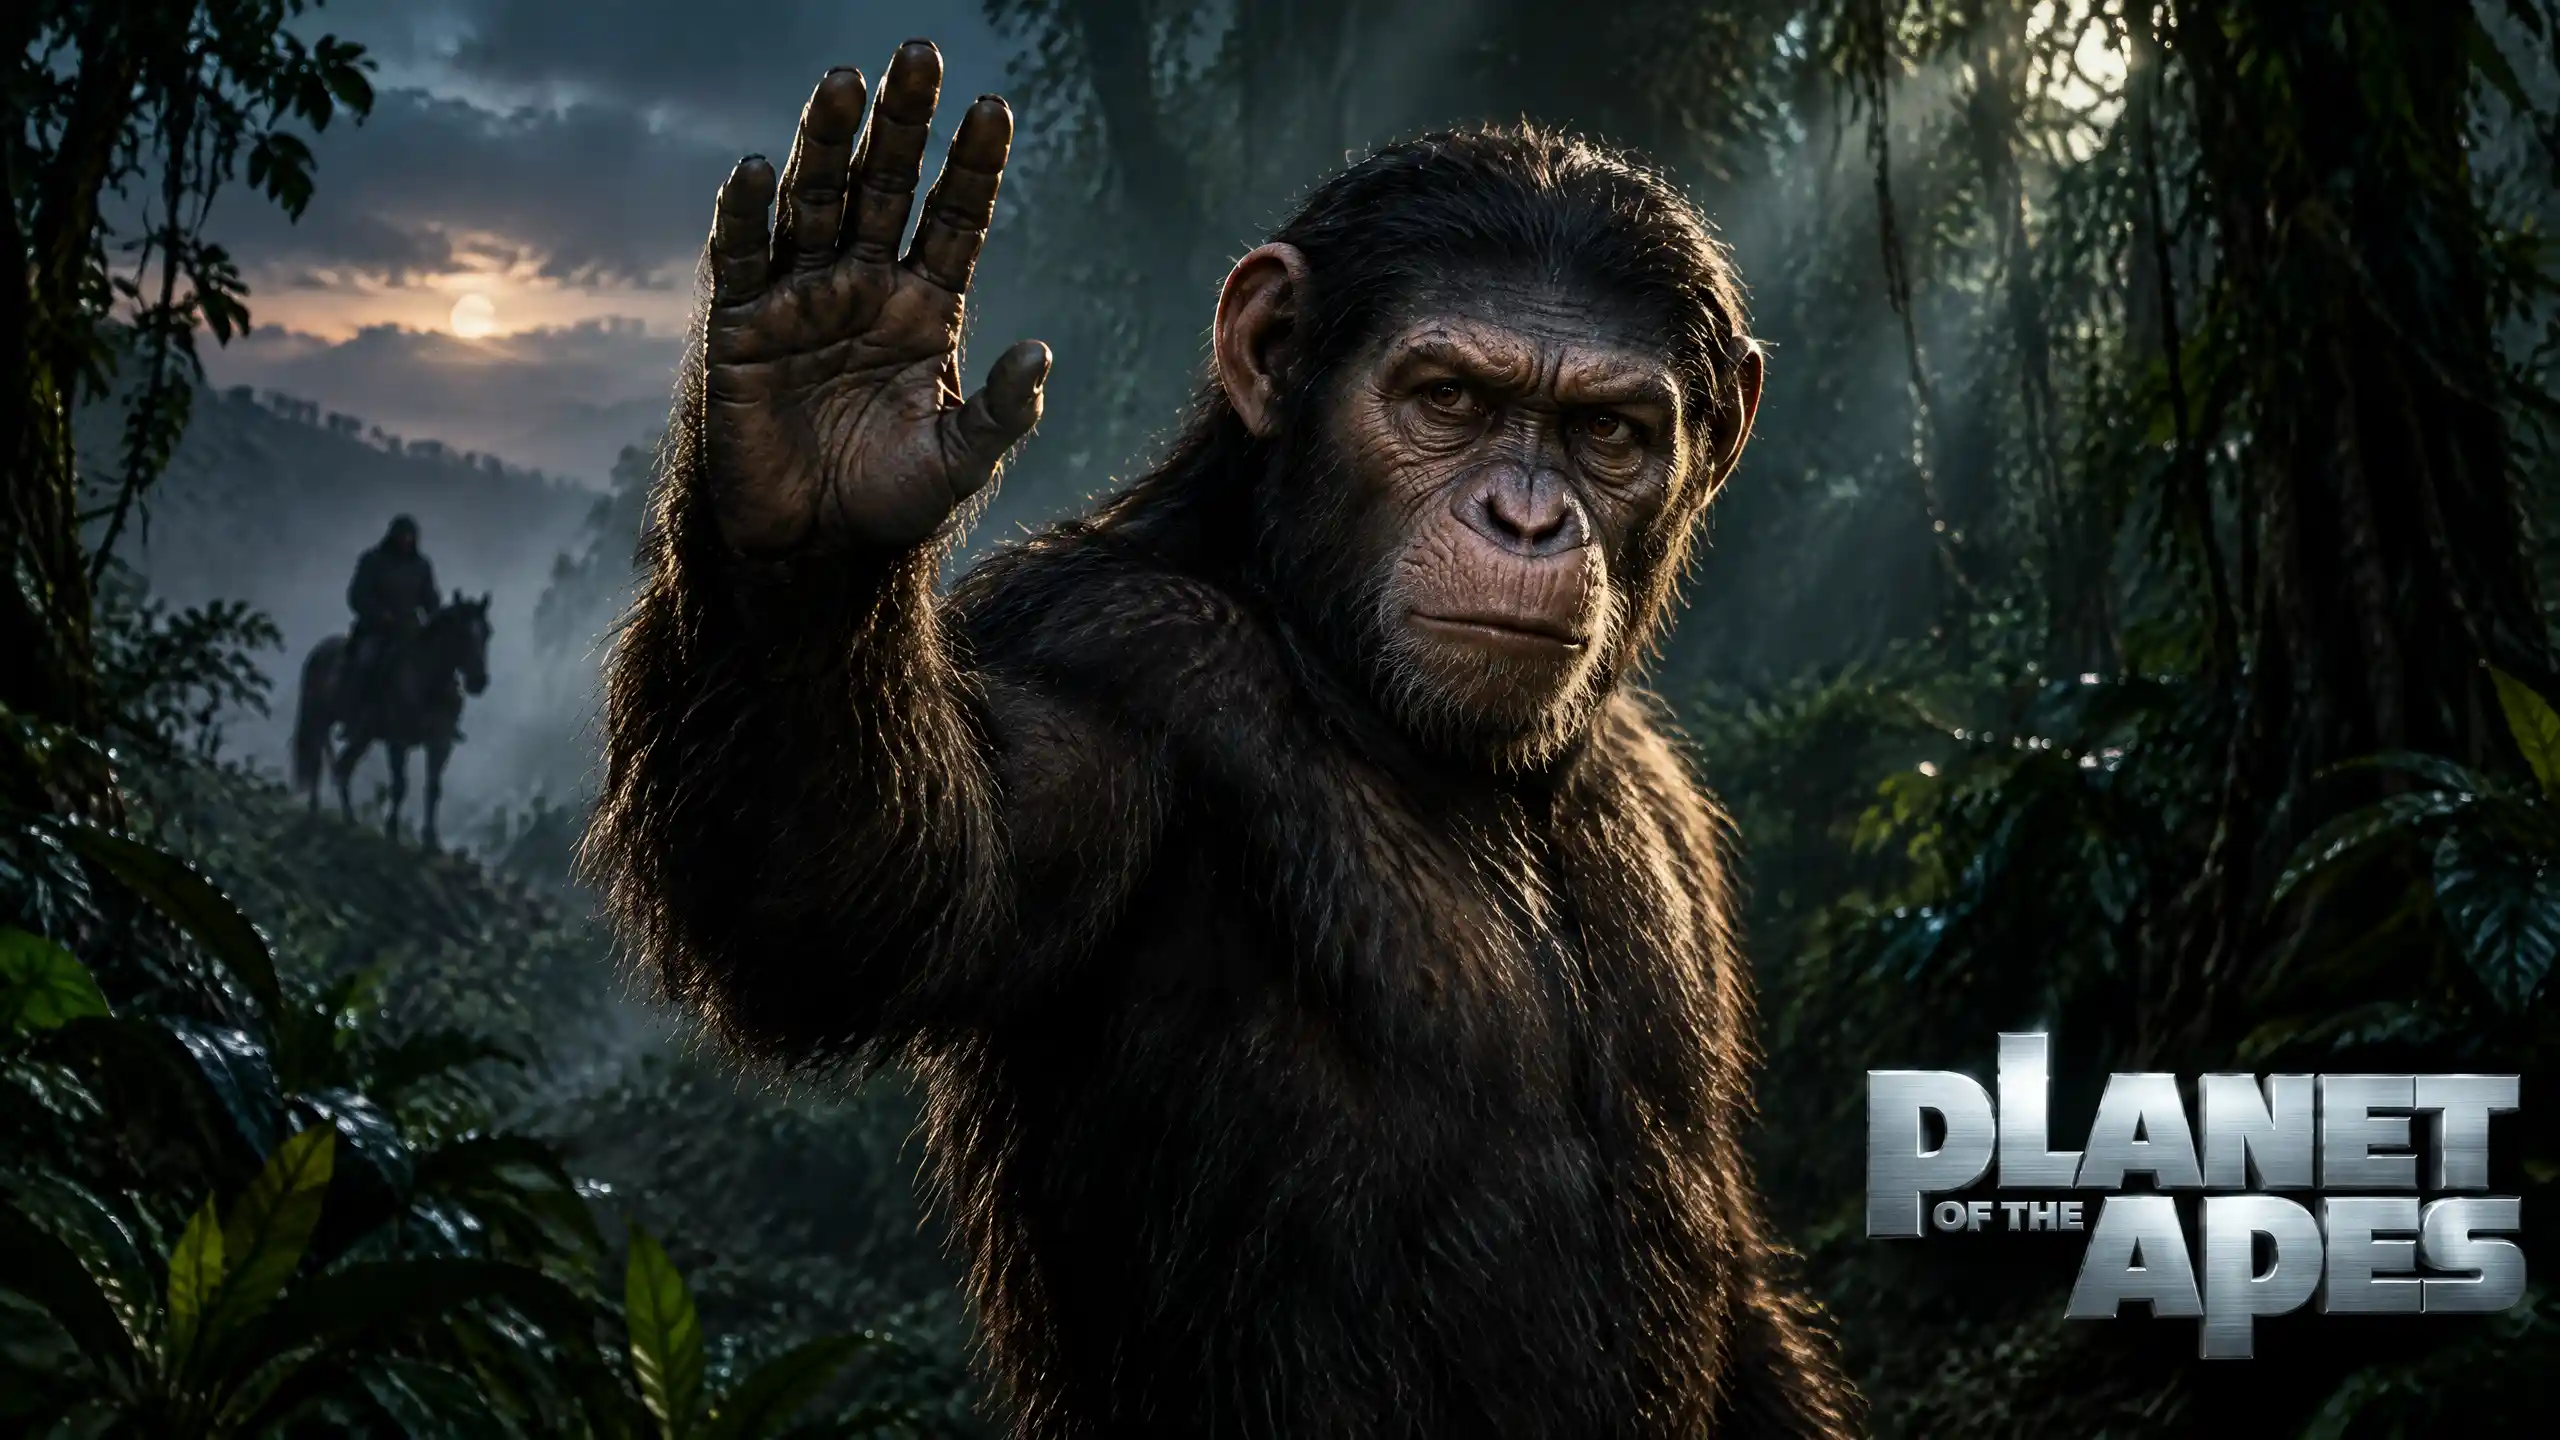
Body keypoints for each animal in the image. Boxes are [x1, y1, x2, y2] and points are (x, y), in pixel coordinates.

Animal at [587, 36, 1863, 1440]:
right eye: (1448, 398)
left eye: (1608, 432)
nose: (1528, 518)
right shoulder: (1113, 662)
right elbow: (852, 890)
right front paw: (821, 430)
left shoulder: (1656, 790)